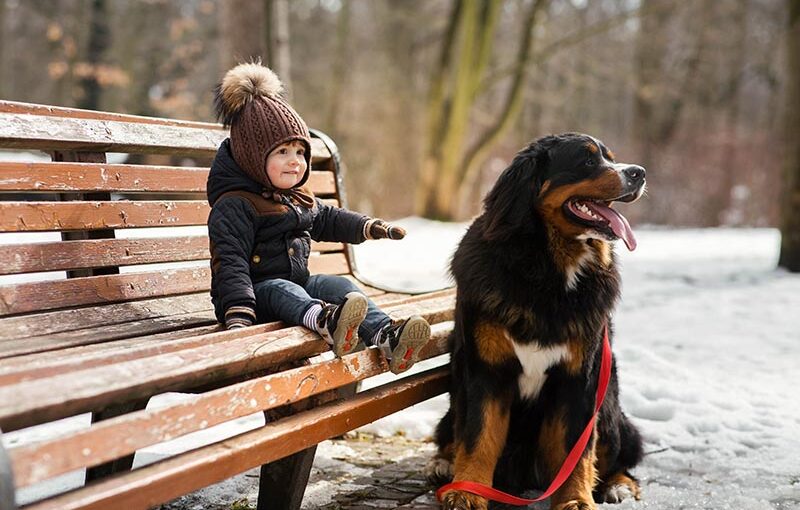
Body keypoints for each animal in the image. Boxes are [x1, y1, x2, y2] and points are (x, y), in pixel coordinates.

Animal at [428, 133, 648, 508]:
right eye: (588, 161)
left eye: (610, 157)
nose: (639, 172)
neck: (547, 271)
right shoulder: (486, 370)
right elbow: (478, 437)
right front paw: (466, 491)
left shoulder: (580, 377)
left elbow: (578, 449)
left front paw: (576, 499)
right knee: (451, 435)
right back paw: (443, 464)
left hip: (609, 404)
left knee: (618, 457)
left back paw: (617, 484)